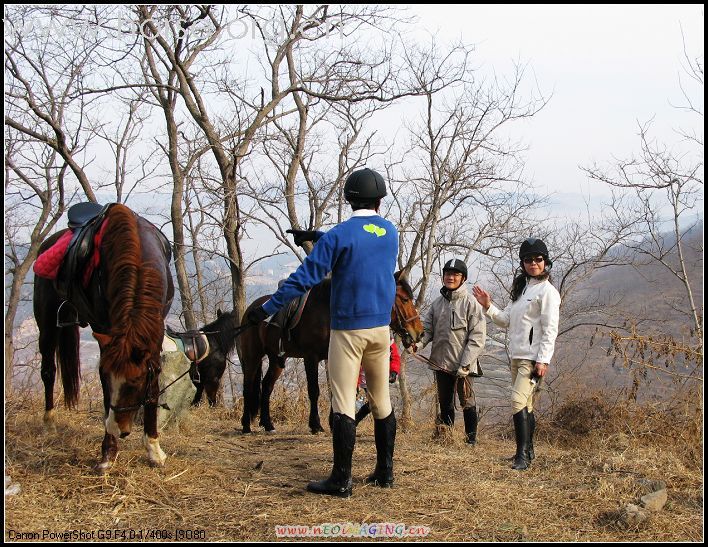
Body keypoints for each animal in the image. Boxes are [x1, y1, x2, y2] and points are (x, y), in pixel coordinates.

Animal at [34, 203, 175, 474]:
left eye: (134, 383)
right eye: (110, 379)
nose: (117, 428)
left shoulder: (154, 332)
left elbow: (153, 388)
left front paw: (154, 449)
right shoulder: (106, 333)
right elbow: (105, 394)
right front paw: (107, 453)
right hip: (46, 323)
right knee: (48, 371)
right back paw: (48, 422)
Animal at [238, 272, 426, 434]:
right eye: (405, 299)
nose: (420, 332)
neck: (328, 313)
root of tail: (252, 309)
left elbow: (335, 388)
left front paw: (333, 422)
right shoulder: (311, 357)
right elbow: (314, 391)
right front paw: (315, 424)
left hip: (276, 359)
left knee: (266, 386)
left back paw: (268, 424)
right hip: (252, 357)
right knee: (248, 387)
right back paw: (246, 425)